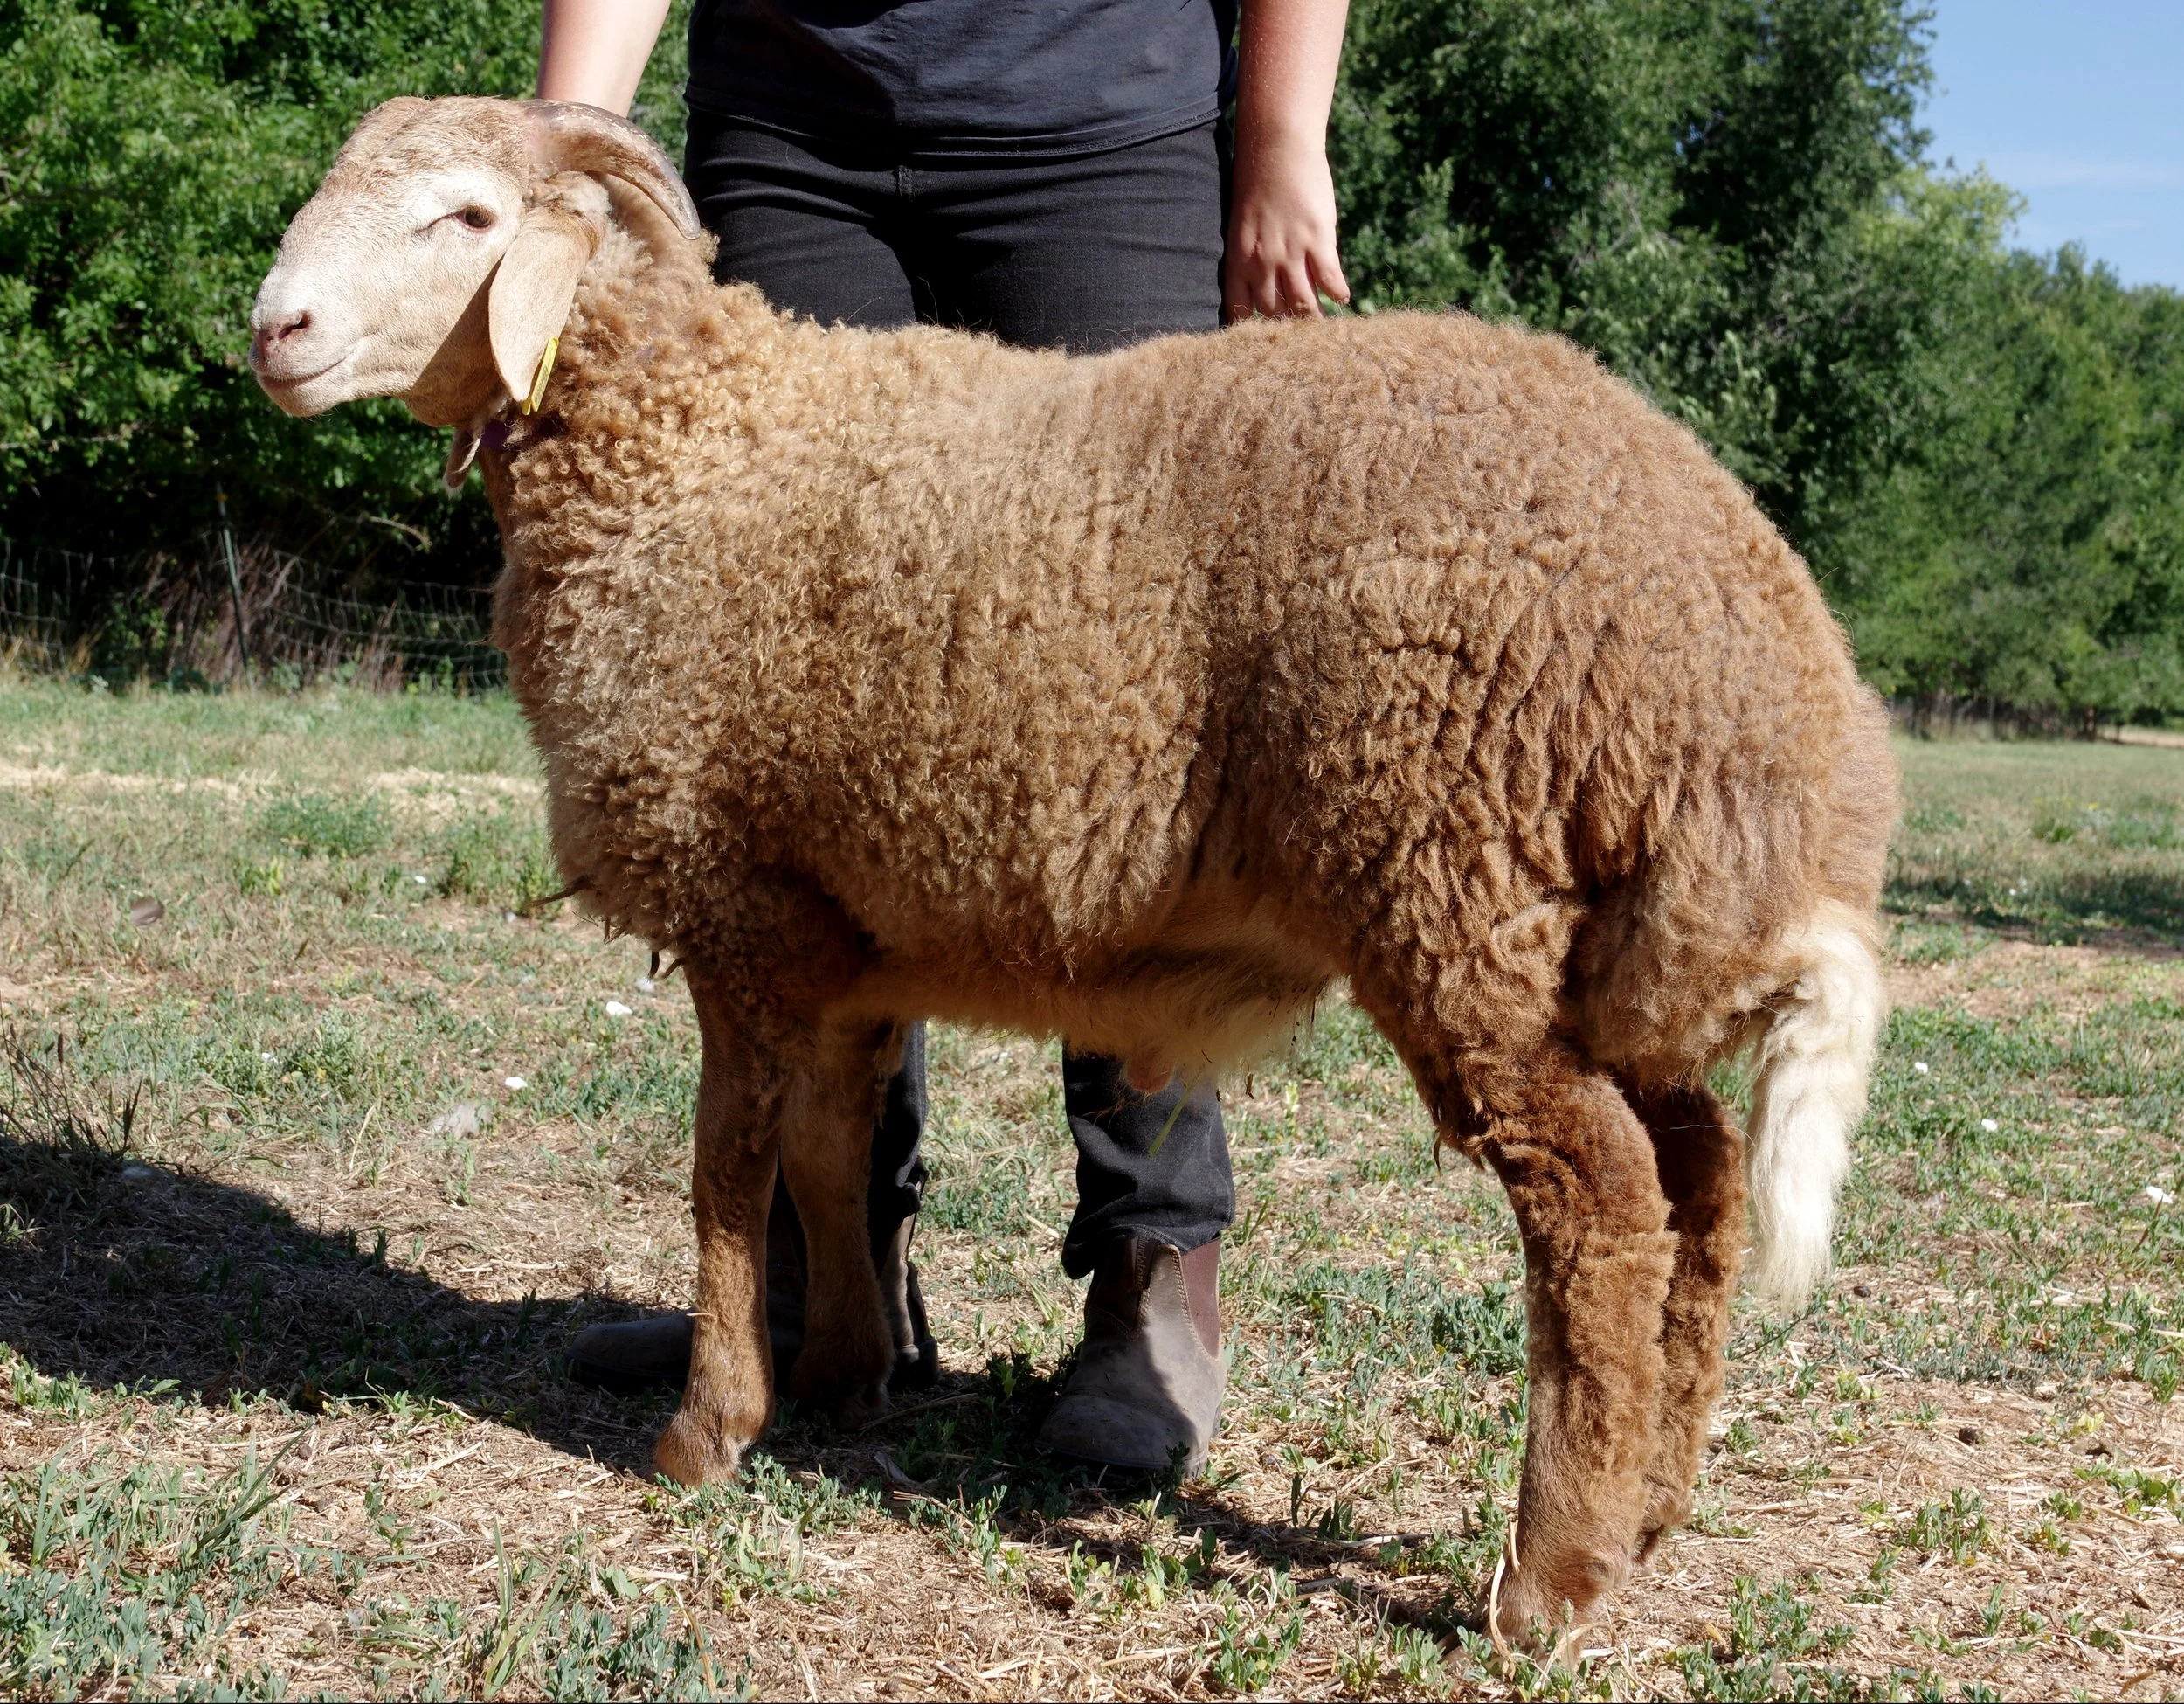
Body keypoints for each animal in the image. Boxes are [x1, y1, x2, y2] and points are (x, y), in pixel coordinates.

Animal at [249, 95, 1898, 1642]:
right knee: (1702, 1177)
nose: (275, 330)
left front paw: (706, 1432)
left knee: (1600, 1205)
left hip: (1456, 887)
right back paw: (1653, 1507)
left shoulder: (739, 899)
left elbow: (726, 1171)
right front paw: (845, 1375)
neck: (693, 449)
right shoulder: (843, 934)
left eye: (467, 217)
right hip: (1596, 943)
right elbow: (834, 1156)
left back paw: (1545, 1583)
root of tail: (1773, 696)